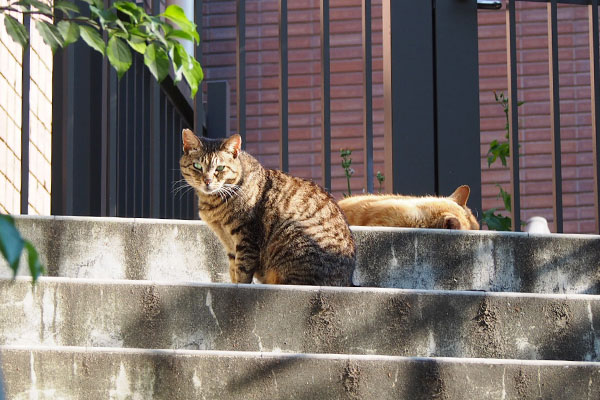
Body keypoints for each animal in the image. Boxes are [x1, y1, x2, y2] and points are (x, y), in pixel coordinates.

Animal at [178, 130, 356, 286]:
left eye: (220, 168)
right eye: (197, 166)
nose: (207, 181)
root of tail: (347, 281)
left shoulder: (246, 237)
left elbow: (242, 270)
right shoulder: (230, 245)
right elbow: (233, 269)